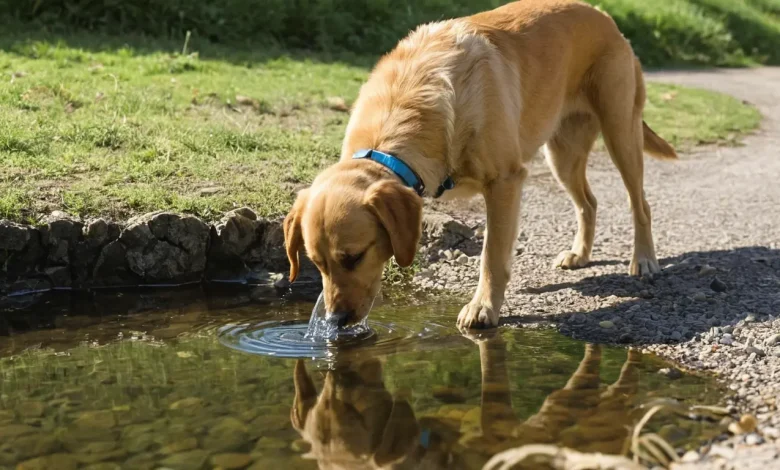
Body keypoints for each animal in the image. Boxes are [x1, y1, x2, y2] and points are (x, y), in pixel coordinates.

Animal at [282, 0, 676, 328]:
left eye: (354, 257)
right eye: (317, 264)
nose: (333, 322)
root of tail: (606, 17)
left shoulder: (505, 182)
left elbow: (492, 255)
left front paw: (483, 306)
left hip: (621, 133)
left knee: (640, 203)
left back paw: (644, 259)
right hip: (562, 155)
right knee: (588, 203)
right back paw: (580, 253)